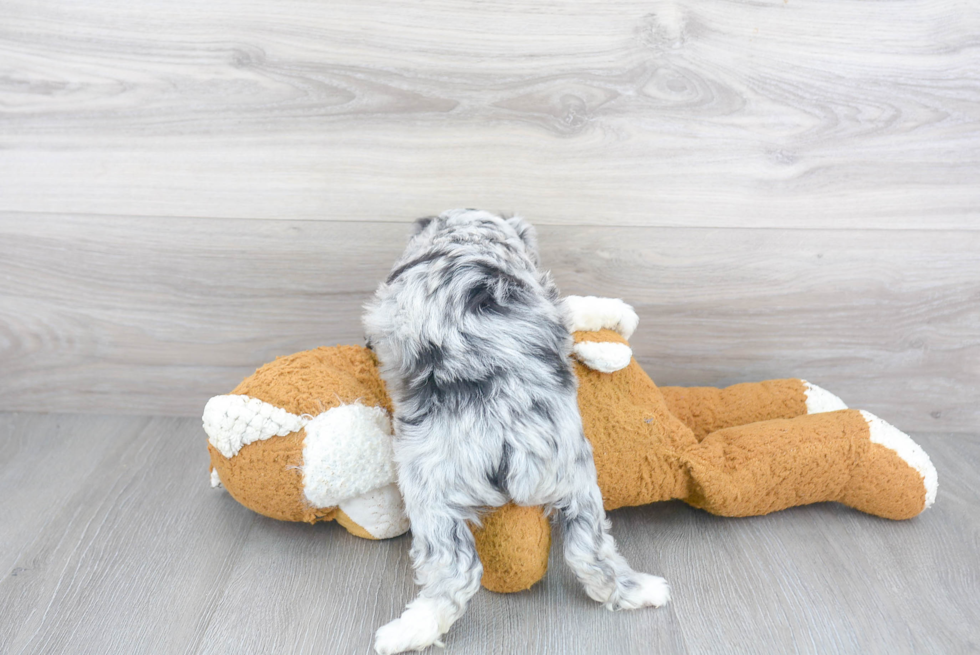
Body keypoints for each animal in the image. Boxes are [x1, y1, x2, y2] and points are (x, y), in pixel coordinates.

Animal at [364, 211, 668, 655]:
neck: (468, 237)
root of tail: (508, 423)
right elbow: (573, 307)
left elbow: (576, 304)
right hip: (575, 479)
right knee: (587, 552)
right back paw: (645, 591)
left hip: (430, 490)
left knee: (456, 572)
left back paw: (404, 632)